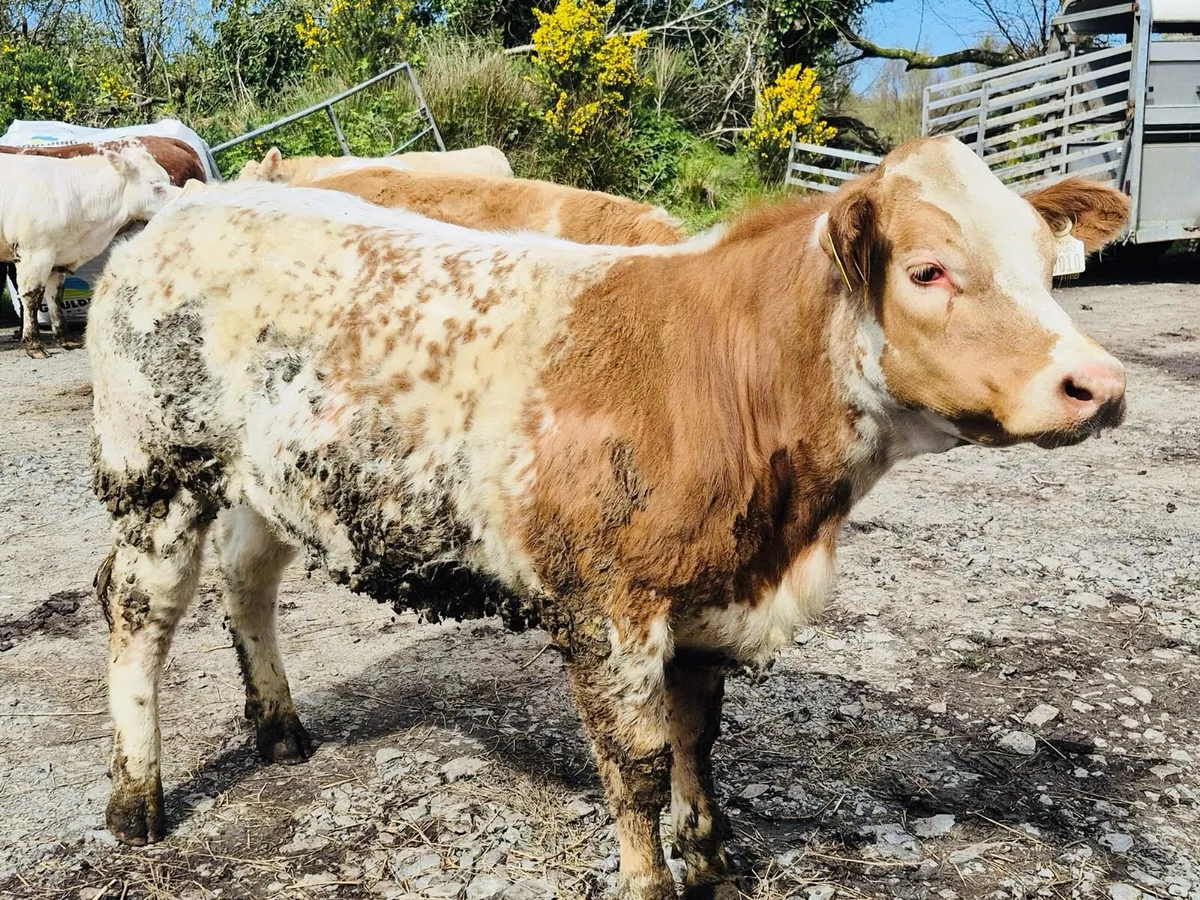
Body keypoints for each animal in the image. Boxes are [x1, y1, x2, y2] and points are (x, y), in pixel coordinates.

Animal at [1, 147, 179, 358]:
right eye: (155, 185)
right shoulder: (35, 253)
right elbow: (32, 297)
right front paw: (33, 345)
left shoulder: (59, 256)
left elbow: (56, 296)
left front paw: (66, 339)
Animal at [89, 137, 1127, 898]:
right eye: (928, 271)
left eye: (1048, 265)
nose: (1100, 385)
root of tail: (186, 209)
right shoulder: (607, 607)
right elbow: (636, 764)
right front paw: (654, 878)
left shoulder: (709, 596)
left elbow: (698, 739)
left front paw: (711, 858)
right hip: (153, 472)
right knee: (137, 614)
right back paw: (136, 798)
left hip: (268, 477)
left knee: (249, 580)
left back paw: (278, 727)